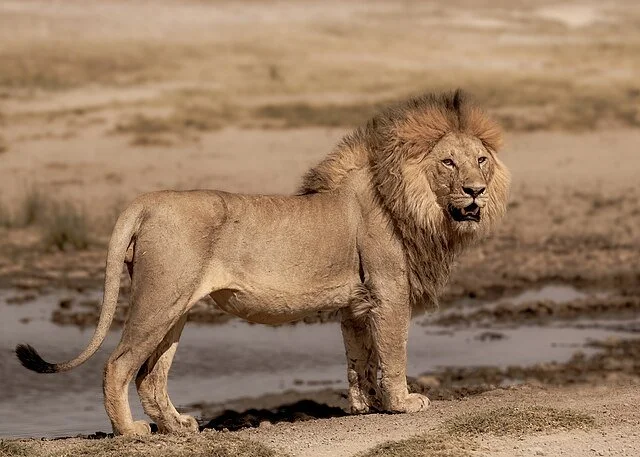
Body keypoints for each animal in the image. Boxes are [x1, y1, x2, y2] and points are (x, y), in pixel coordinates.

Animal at [16, 90, 510, 436]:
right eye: (448, 163)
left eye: (481, 160)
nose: (476, 191)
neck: (418, 205)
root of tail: (147, 201)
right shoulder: (389, 293)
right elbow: (392, 353)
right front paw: (402, 403)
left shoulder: (357, 304)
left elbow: (360, 358)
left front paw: (365, 405)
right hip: (160, 298)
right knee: (119, 365)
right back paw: (131, 432)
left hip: (175, 307)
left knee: (151, 376)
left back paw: (178, 427)